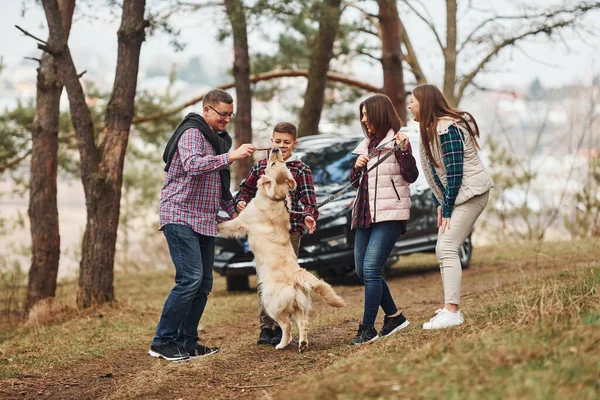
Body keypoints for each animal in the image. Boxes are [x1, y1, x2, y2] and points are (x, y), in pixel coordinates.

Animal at [218, 148, 344, 354]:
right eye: (280, 163)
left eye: (274, 164)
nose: (275, 149)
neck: (274, 198)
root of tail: (297, 274)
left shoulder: (242, 221)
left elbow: (228, 224)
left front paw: (215, 223)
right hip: (299, 305)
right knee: (303, 324)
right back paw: (302, 344)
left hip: (272, 304)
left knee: (287, 325)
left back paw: (281, 344)